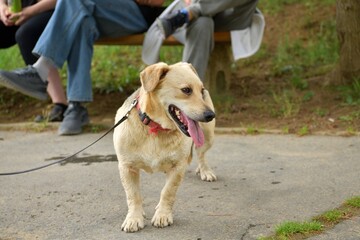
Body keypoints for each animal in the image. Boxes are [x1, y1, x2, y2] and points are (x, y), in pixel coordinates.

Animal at [112, 62, 215, 232]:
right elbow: (133, 195)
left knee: (201, 154)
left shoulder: (178, 167)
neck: (156, 129)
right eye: (186, 90)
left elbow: (168, 192)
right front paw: (134, 217)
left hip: (208, 137)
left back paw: (205, 170)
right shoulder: (127, 167)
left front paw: (163, 214)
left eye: (201, 91)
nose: (211, 115)